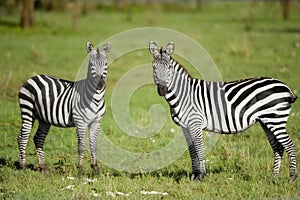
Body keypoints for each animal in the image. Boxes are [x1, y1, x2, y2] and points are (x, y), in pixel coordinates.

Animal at [17, 41, 110, 174]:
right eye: (92, 65)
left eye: (106, 64)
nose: (100, 84)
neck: (96, 98)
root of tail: (33, 77)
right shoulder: (80, 122)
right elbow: (81, 146)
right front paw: (80, 169)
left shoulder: (96, 122)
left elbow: (94, 145)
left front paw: (95, 168)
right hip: (27, 110)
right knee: (22, 136)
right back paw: (23, 165)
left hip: (44, 118)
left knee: (38, 138)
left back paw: (43, 167)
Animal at [150, 41, 298, 181]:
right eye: (154, 67)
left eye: (169, 67)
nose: (162, 90)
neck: (184, 94)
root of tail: (285, 87)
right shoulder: (185, 127)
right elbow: (192, 151)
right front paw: (194, 175)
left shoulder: (195, 123)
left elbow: (199, 148)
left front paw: (201, 175)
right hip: (267, 121)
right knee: (278, 147)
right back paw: (274, 177)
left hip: (276, 120)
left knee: (290, 146)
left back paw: (292, 178)